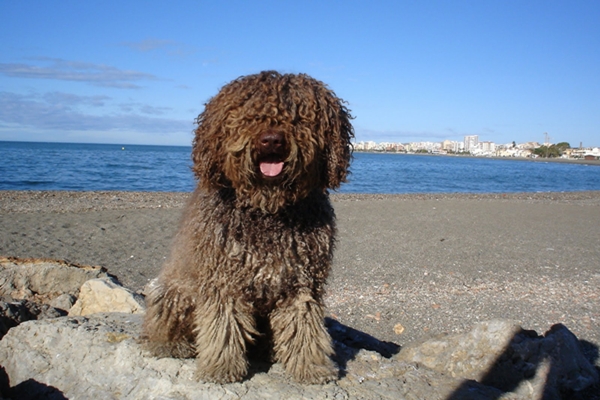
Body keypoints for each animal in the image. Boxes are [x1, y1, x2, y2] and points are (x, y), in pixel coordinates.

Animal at [143, 71, 354, 384]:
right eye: (247, 115)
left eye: (299, 117)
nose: (271, 140)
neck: (268, 210)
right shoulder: (223, 281)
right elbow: (223, 327)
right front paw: (221, 368)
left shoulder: (302, 282)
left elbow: (305, 327)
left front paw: (311, 367)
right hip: (173, 292)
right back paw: (172, 345)